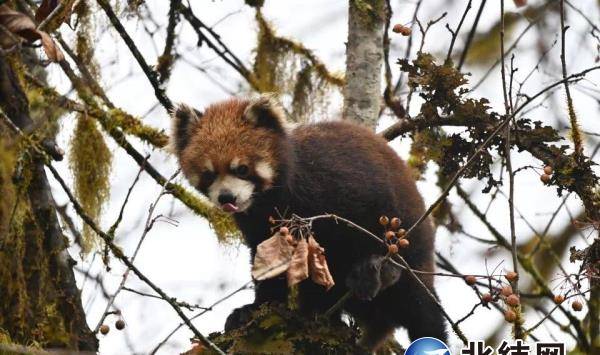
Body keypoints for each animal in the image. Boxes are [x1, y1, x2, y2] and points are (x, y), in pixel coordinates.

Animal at [171, 96, 448, 352]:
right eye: (209, 174)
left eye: (241, 169)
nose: (227, 197)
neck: (273, 198)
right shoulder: (258, 223)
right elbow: (268, 262)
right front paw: (255, 309)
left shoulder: (343, 184)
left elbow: (373, 220)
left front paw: (375, 267)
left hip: (416, 256)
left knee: (420, 306)